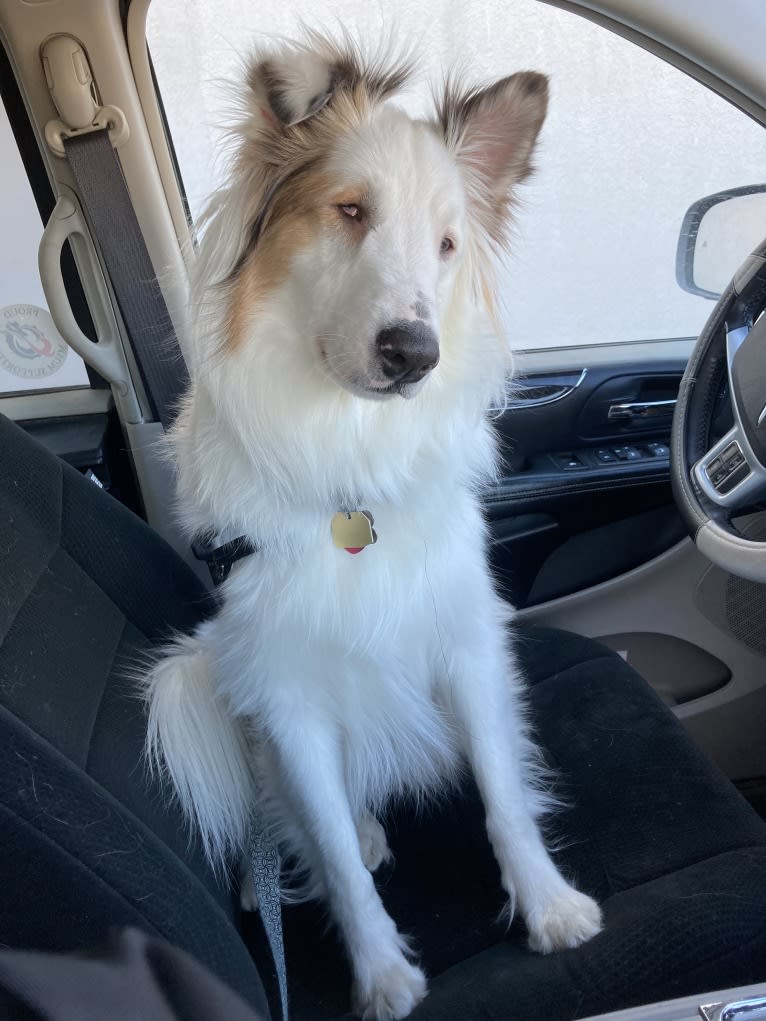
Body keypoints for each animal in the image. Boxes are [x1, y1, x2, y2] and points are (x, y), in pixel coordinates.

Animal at [142, 31, 600, 1021]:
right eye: (349, 211)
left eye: (447, 245)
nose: (413, 353)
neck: (350, 454)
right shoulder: (288, 694)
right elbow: (339, 861)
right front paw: (383, 974)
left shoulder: (464, 641)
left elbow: (505, 793)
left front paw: (549, 906)